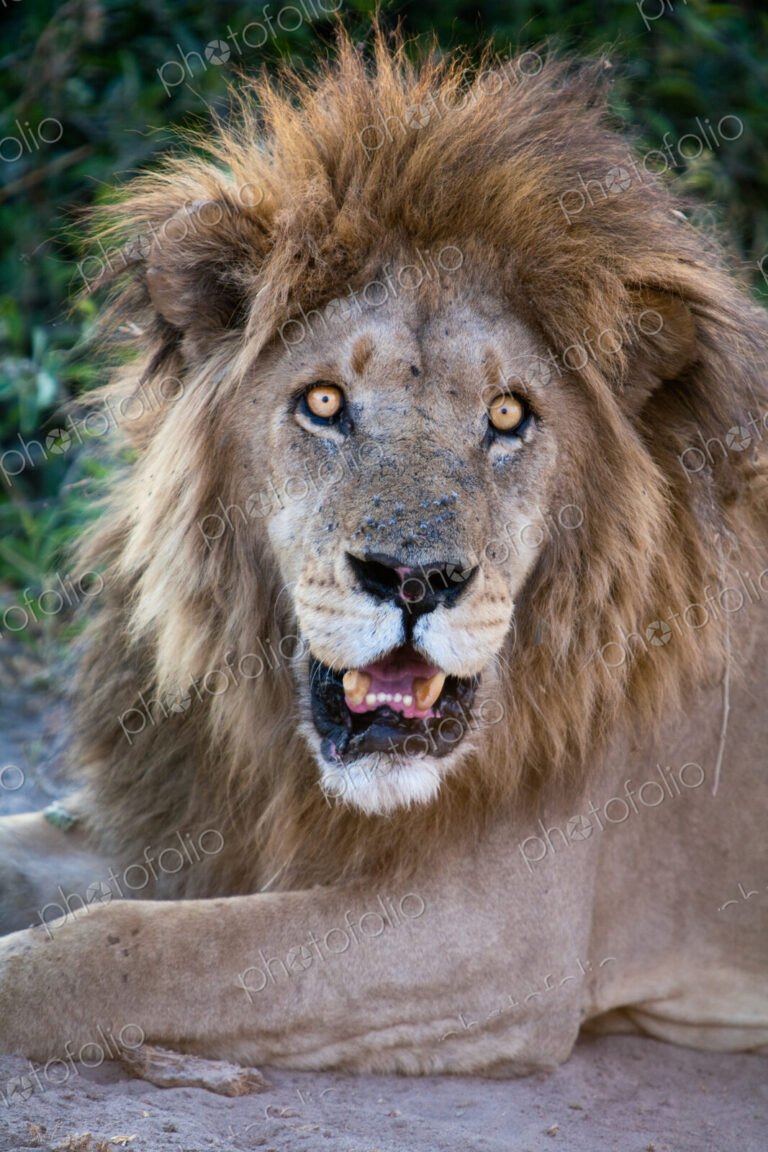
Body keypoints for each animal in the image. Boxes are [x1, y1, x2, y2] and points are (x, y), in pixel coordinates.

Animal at [0, 31, 767, 1079]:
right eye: (324, 403)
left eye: (508, 416)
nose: (414, 580)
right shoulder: (175, 823)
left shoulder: (492, 937)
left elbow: (113, 948)